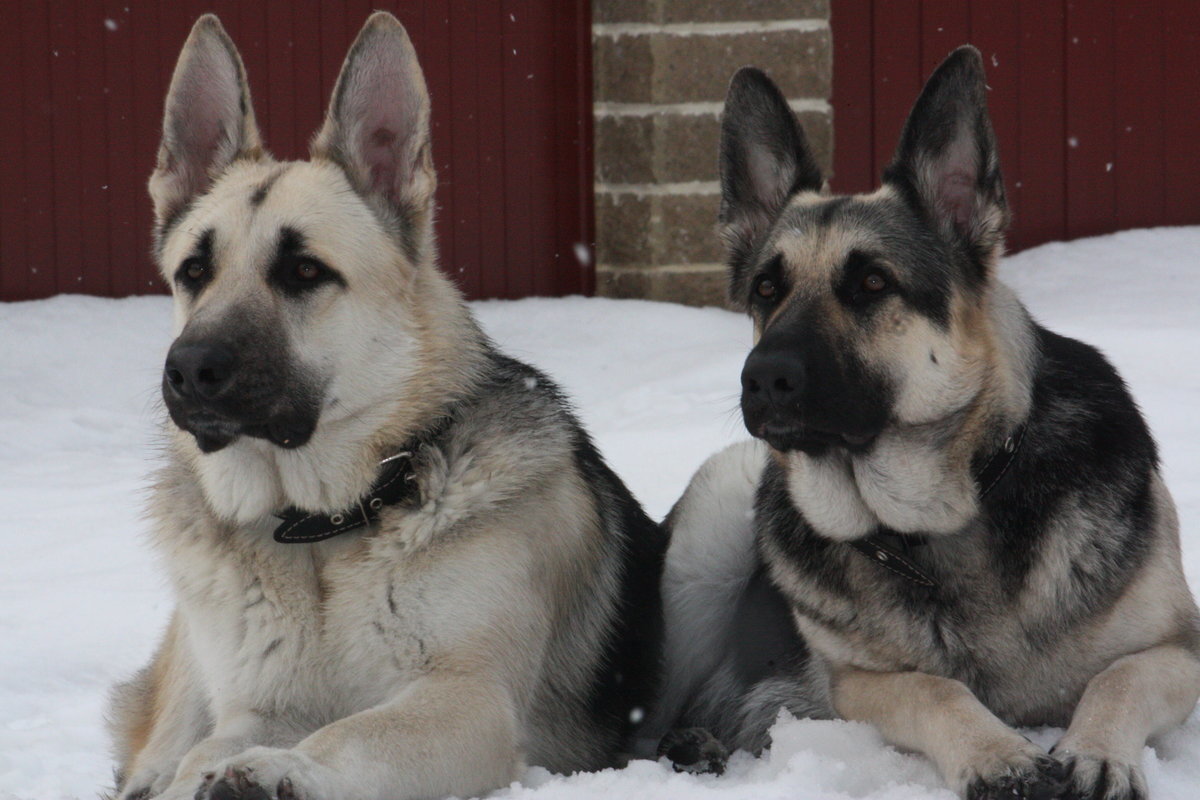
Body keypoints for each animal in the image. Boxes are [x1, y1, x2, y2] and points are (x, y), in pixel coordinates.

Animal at [103, 14, 667, 800]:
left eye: (304, 271)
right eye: (193, 271)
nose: (187, 370)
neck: (319, 529)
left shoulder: (467, 699)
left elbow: (351, 733)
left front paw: (283, 770)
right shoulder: (262, 705)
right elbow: (208, 750)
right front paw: (229, 770)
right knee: (161, 749)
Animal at [652, 50, 1200, 800]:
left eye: (873, 284)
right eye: (767, 289)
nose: (760, 378)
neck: (940, 523)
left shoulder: (1182, 650)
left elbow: (1121, 676)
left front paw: (1097, 752)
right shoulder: (857, 682)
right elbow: (933, 689)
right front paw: (997, 754)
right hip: (720, 496)